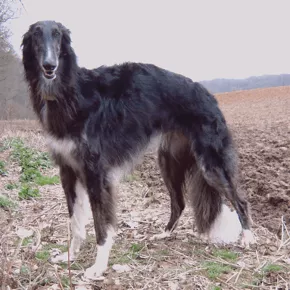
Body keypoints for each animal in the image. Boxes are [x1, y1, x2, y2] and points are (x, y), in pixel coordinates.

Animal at [21, 19, 255, 278]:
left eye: (57, 35)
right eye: (36, 35)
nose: (49, 65)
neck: (70, 93)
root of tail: (208, 95)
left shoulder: (95, 172)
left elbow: (101, 226)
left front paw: (98, 267)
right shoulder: (68, 170)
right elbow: (75, 222)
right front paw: (70, 256)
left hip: (210, 164)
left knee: (240, 199)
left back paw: (248, 237)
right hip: (167, 161)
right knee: (179, 203)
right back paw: (164, 233)